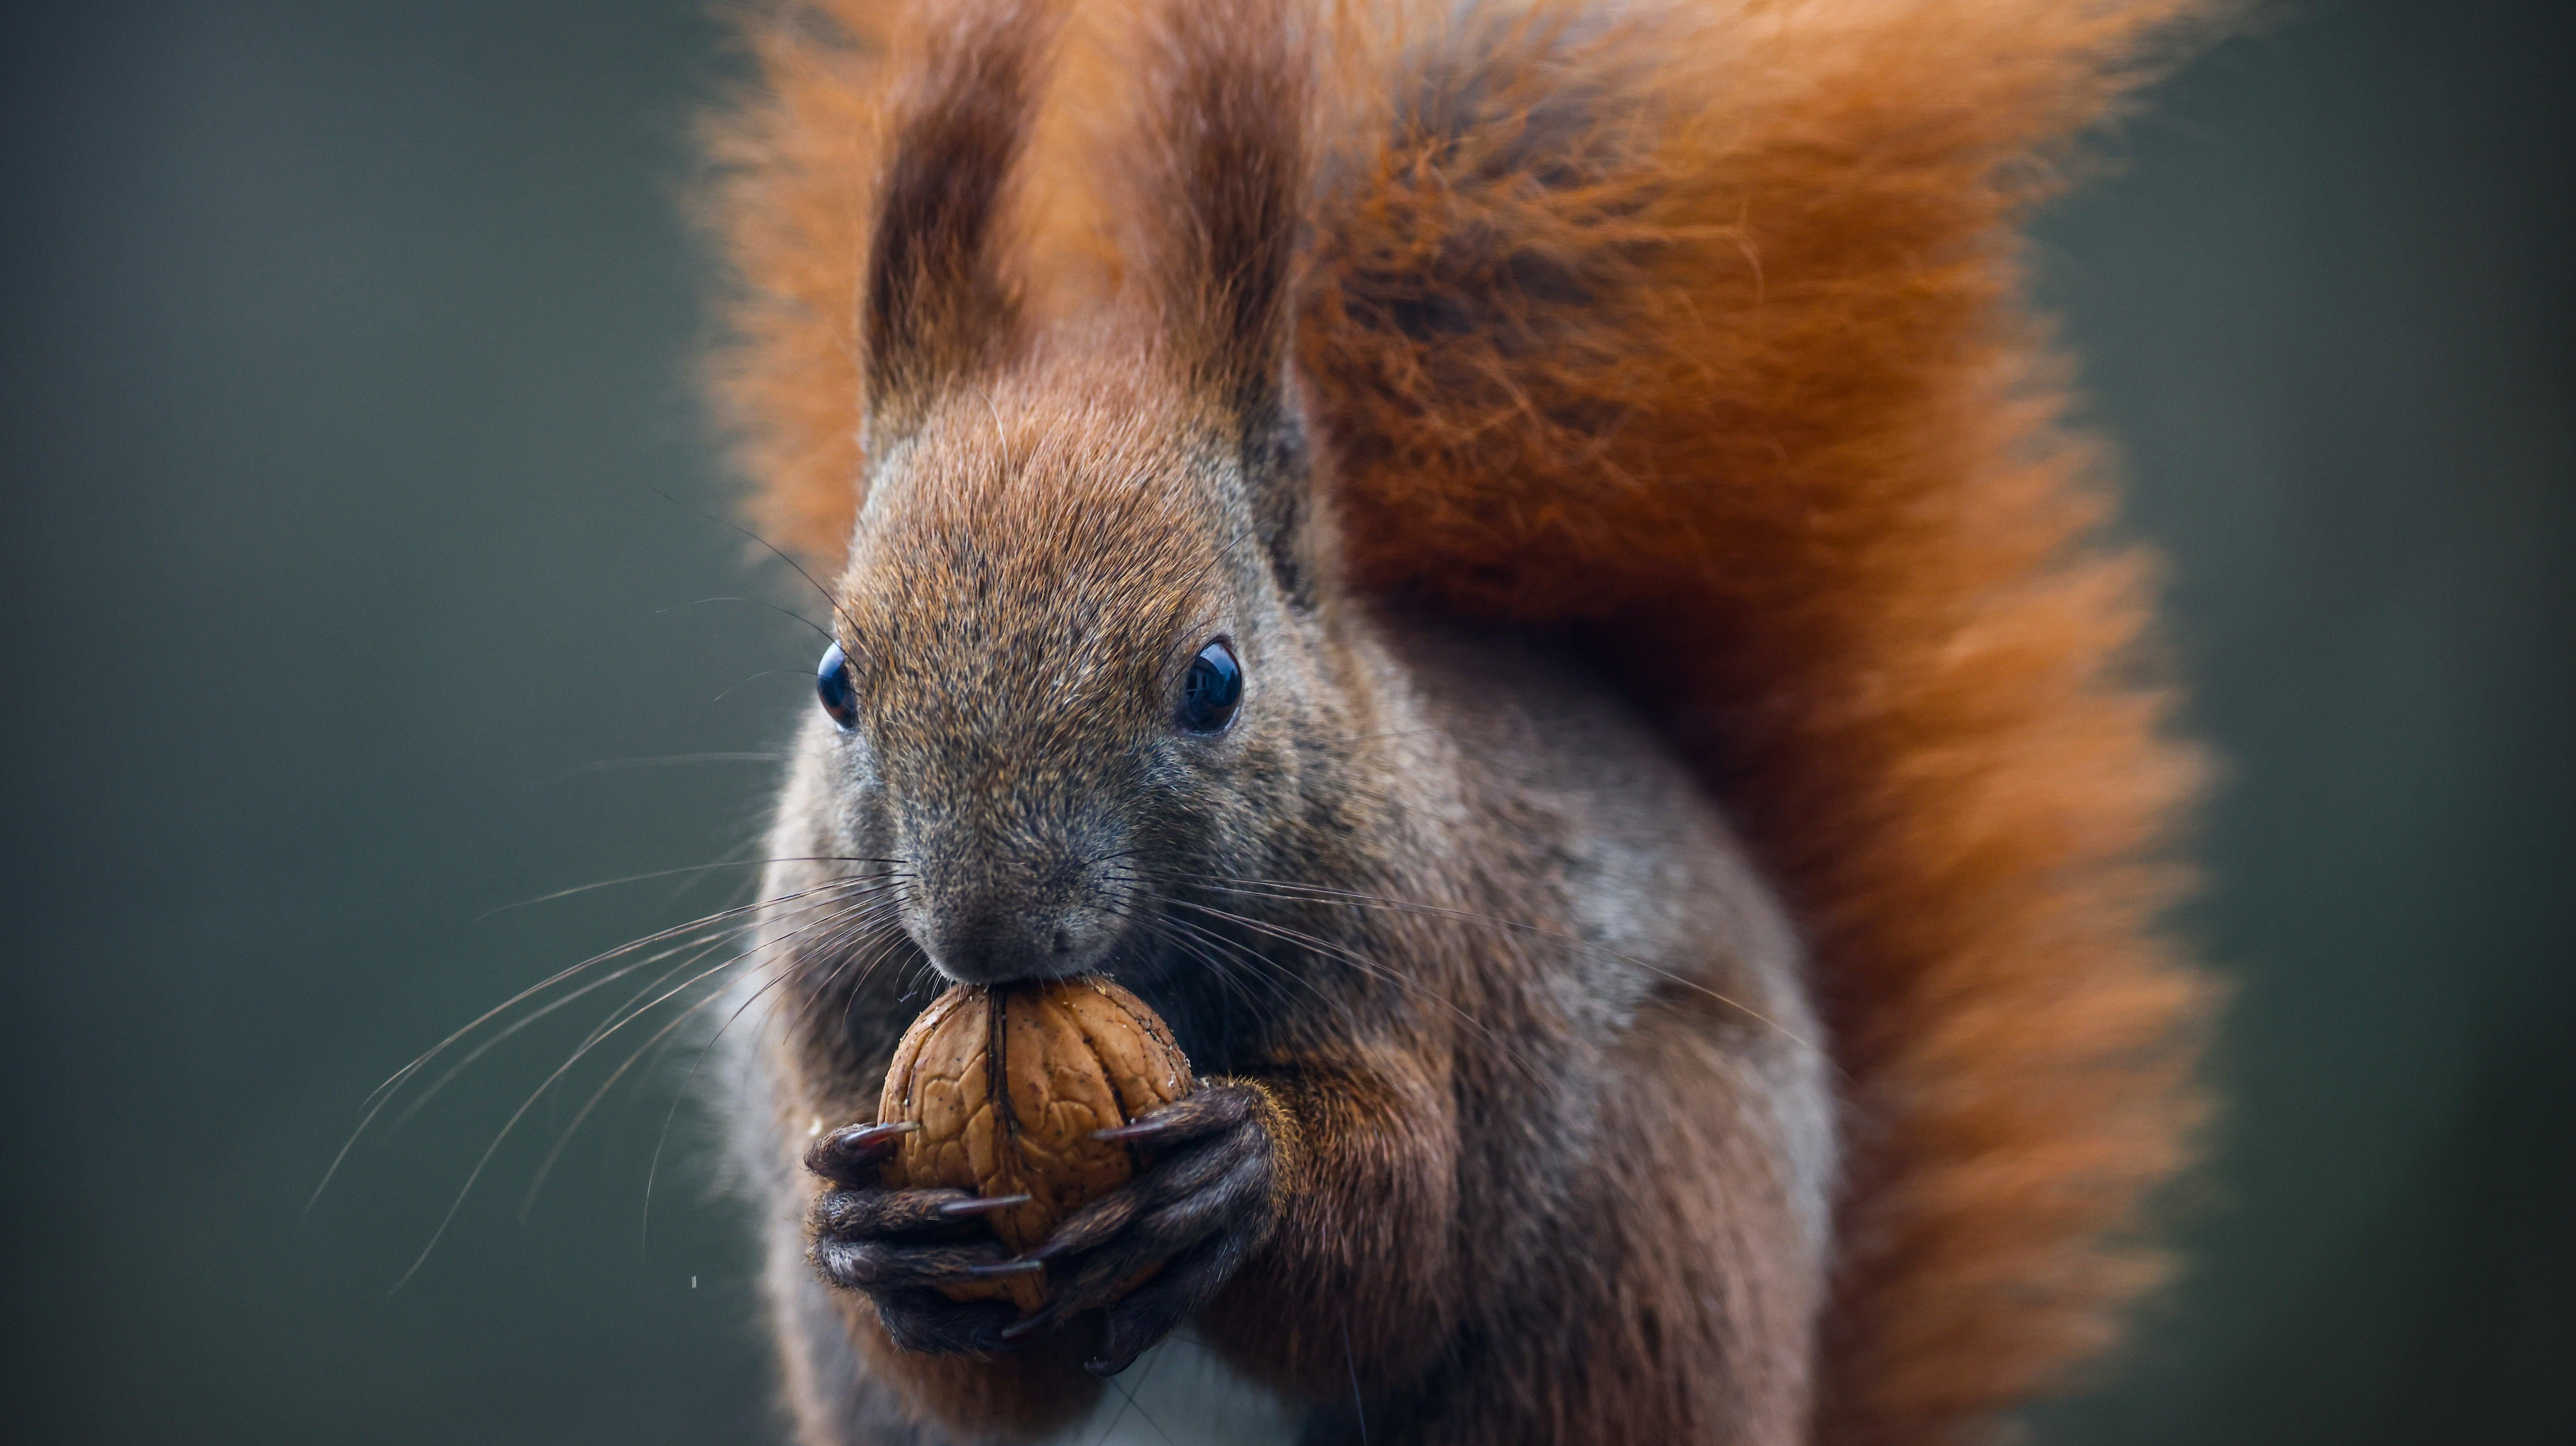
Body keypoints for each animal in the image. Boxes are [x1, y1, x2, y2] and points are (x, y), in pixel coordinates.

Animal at [701, 3, 2215, 1443]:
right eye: (838, 682)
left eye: (1214, 681)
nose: (987, 934)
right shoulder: (829, 997)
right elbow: (973, 1381)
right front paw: (870, 1235)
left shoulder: (1425, 941)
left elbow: (1400, 1245)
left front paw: (1243, 1174)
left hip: (1645, 1256)